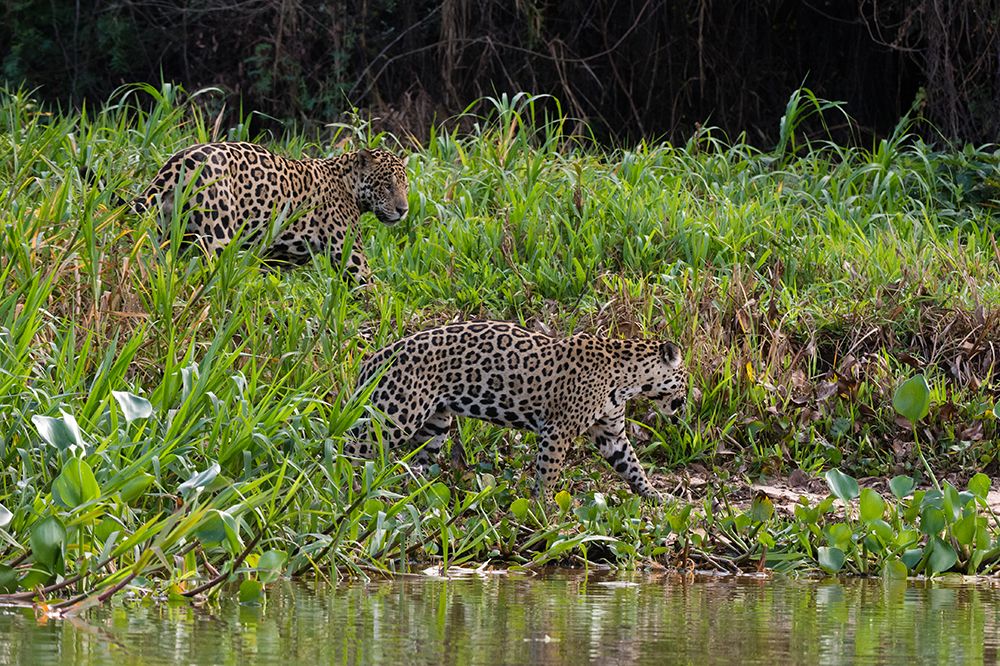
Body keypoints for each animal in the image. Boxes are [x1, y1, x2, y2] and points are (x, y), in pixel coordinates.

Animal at [135, 142, 409, 281]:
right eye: (387, 185)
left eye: (406, 186)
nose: (404, 210)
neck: (347, 183)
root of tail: (179, 160)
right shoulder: (351, 257)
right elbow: (372, 292)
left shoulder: (271, 259)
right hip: (217, 238)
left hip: (167, 231)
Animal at [344, 321, 690, 501]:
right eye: (686, 379)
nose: (686, 403)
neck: (629, 378)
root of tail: (374, 358)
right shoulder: (557, 430)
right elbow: (549, 472)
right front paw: (545, 508)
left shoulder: (611, 433)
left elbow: (633, 466)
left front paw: (657, 496)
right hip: (394, 416)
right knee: (351, 446)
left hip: (435, 424)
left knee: (417, 461)